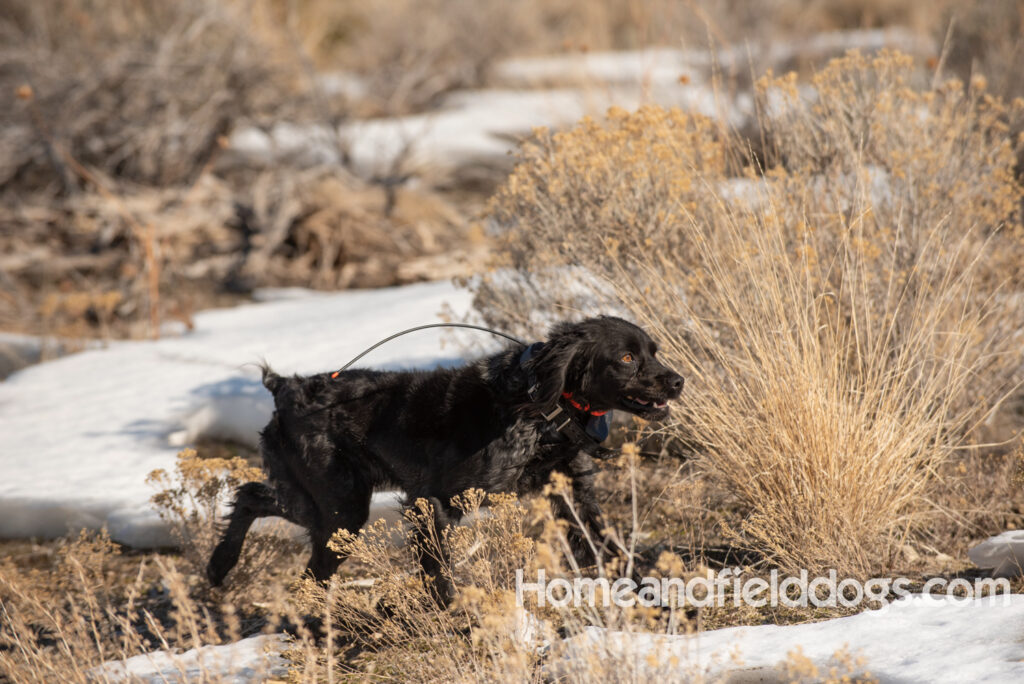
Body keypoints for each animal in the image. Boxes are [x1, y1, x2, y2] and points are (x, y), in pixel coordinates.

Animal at [205, 315, 679, 602]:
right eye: (627, 358)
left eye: (654, 351)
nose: (678, 381)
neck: (539, 408)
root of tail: (286, 388)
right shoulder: (433, 502)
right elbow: (439, 574)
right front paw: (455, 616)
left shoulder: (574, 496)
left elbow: (610, 551)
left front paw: (652, 599)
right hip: (341, 510)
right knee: (302, 565)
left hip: (322, 504)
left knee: (250, 493)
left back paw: (219, 566)